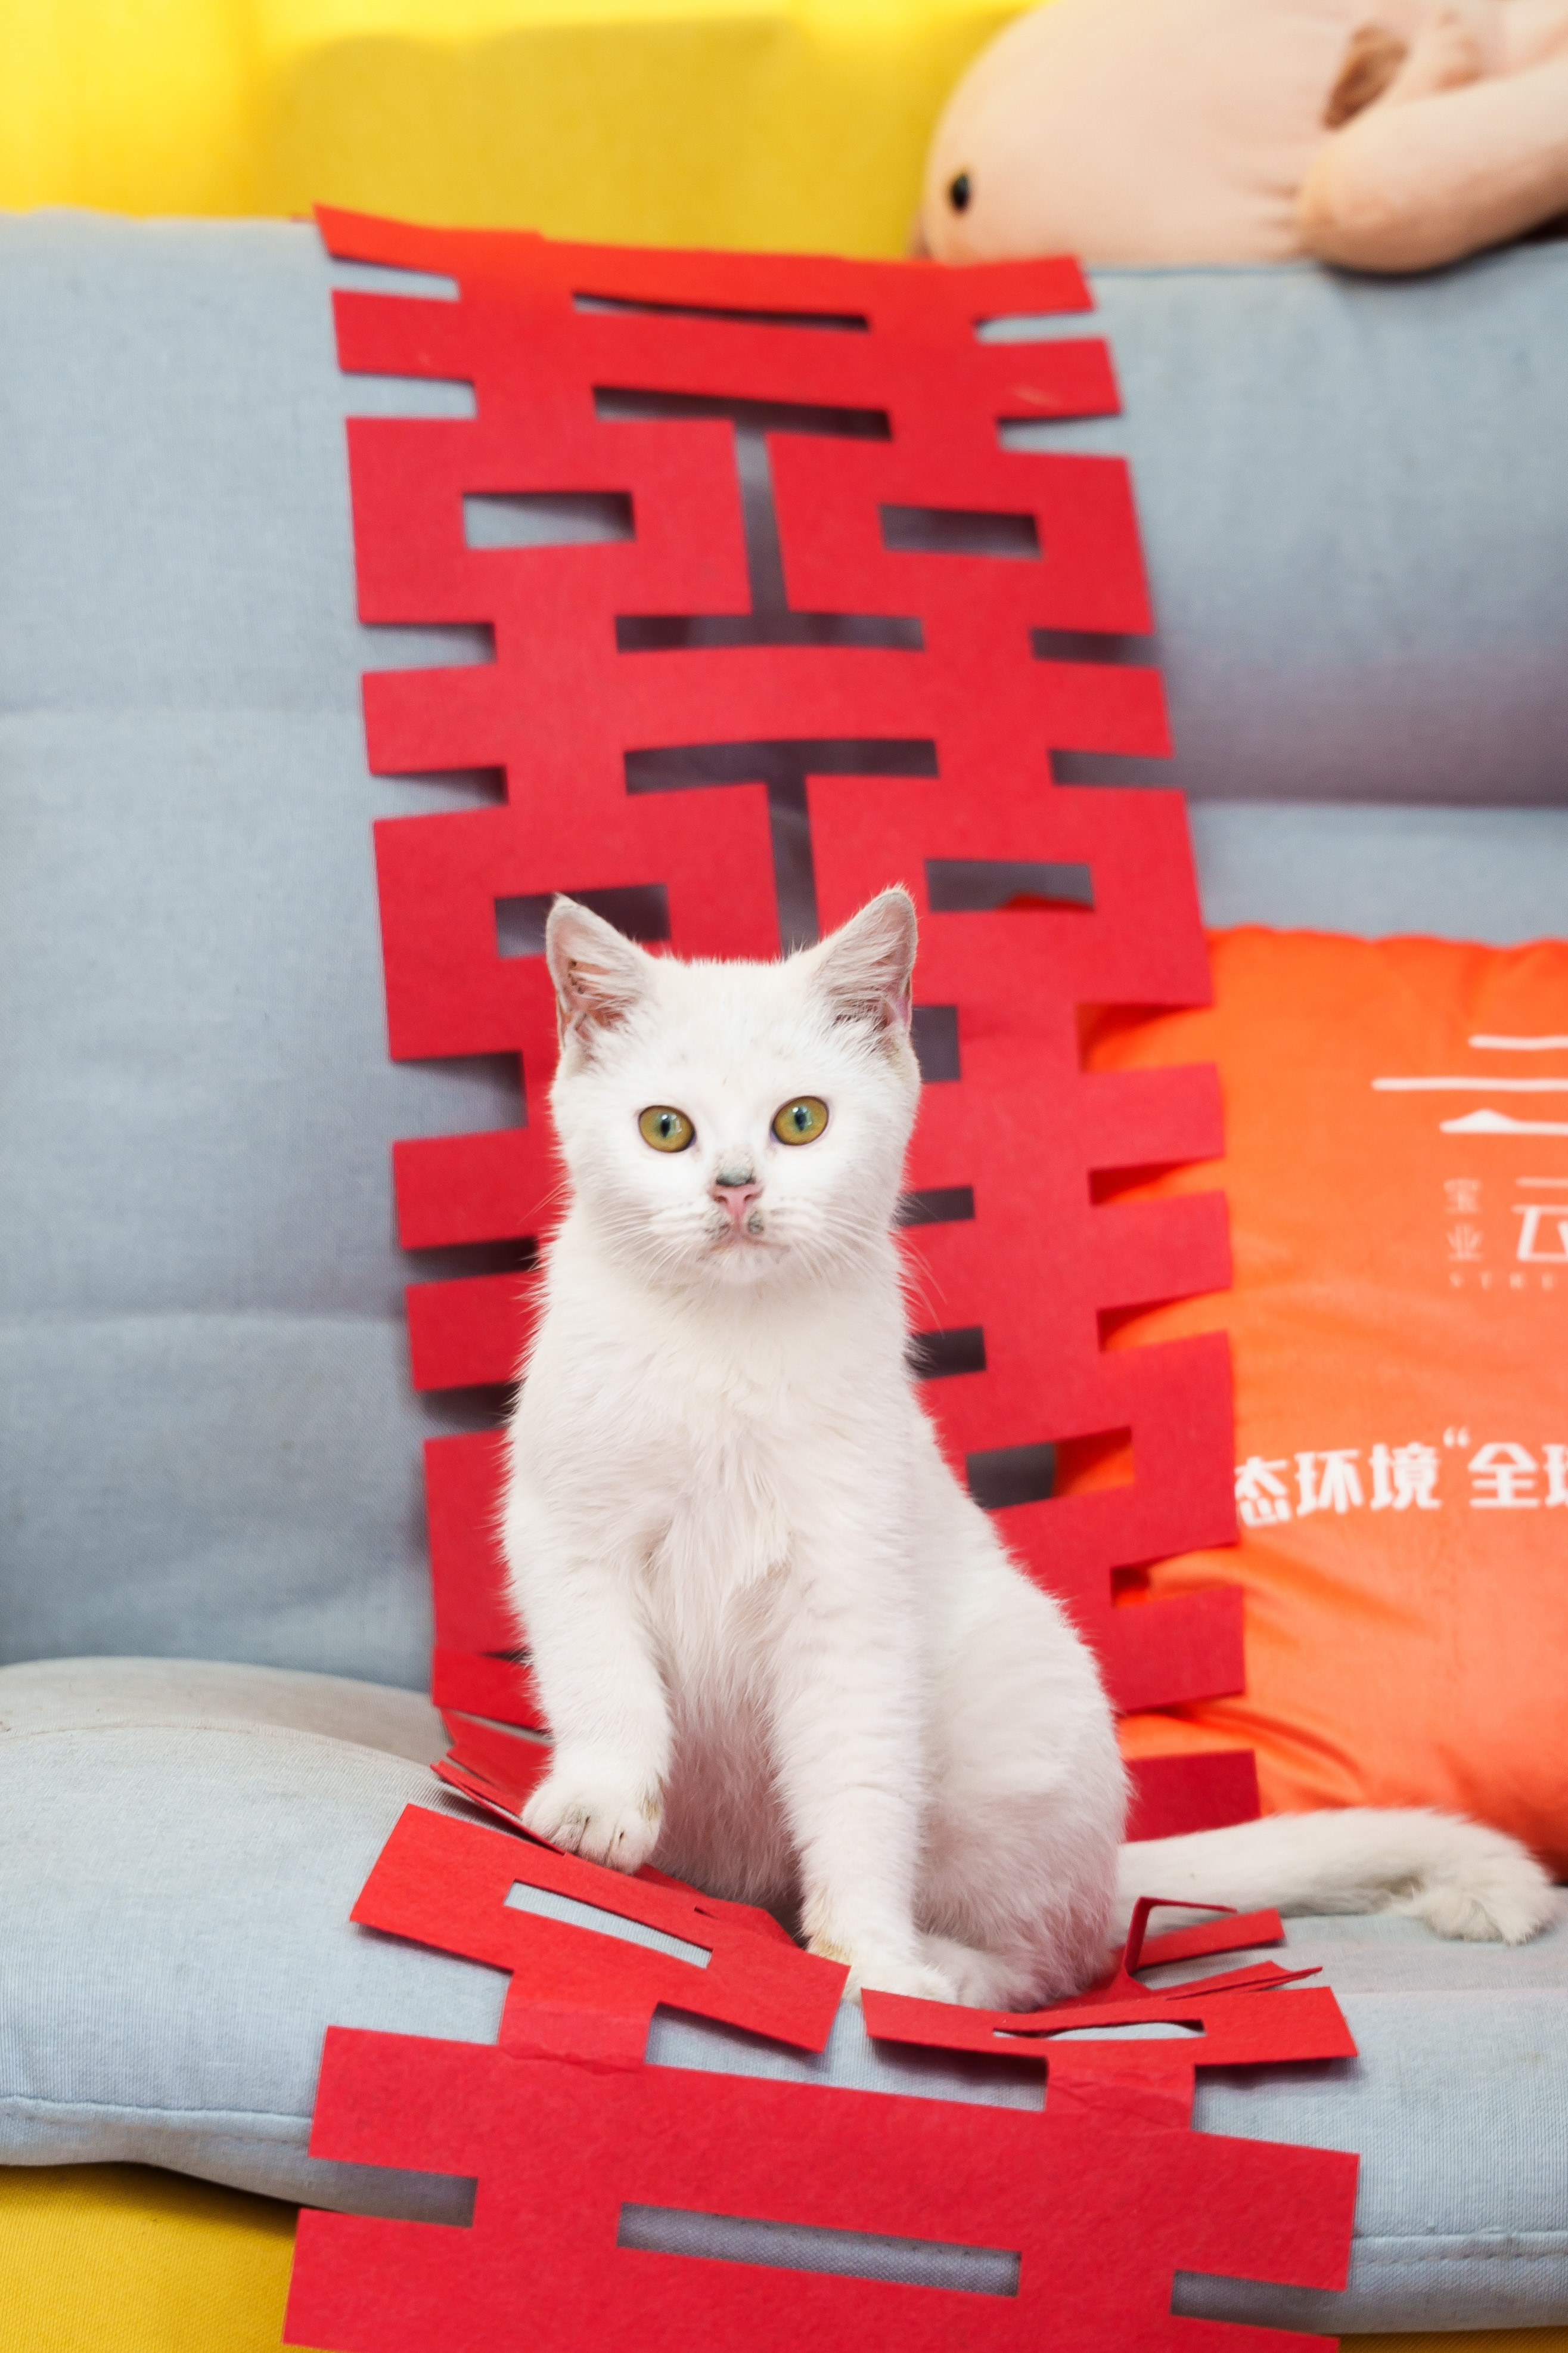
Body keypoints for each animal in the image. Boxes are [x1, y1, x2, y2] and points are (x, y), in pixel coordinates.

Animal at [500, 887, 1554, 2006]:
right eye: (665, 1129)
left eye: (800, 1120)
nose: (736, 1186)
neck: (723, 1351)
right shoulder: (567, 1530)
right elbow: (603, 1679)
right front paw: (601, 1806)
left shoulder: (851, 1591)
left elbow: (856, 1788)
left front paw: (871, 1956)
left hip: (1017, 1729)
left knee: (1056, 1954)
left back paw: (952, 1968)